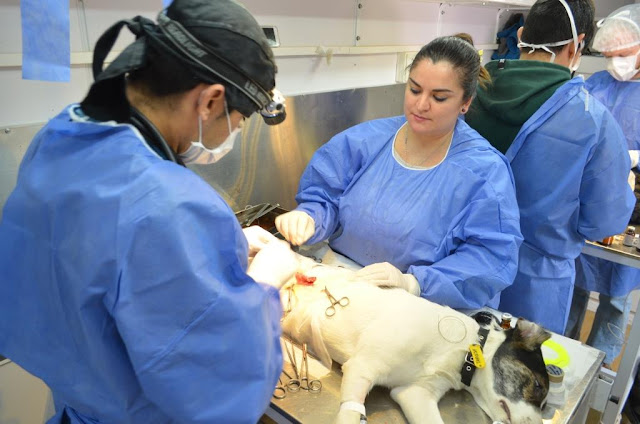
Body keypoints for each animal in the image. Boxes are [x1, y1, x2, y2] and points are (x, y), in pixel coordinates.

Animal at [278, 253, 551, 424]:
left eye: (546, 407)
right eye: (538, 386)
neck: (463, 350)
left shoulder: (414, 394)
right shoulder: (361, 368)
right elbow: (350, 412)